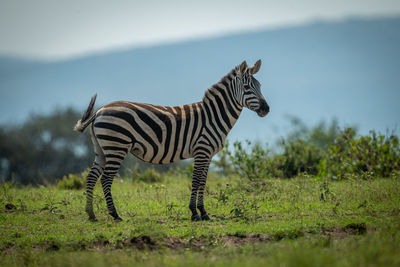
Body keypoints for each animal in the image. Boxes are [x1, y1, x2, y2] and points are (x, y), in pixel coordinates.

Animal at [74, 60, 268, 222]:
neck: (214, 116)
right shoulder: (202, 150)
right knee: (105, 179)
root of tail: (99, 111)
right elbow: (196, 180)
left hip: (102, 148)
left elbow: (203, 182)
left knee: (91, 177)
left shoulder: (208, 154)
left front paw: (204, 213)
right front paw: (194, 213)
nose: (266, 109)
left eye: (260, 86)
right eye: (246, 87)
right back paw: (115, 215)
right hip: (116, 146)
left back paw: (91, 214)